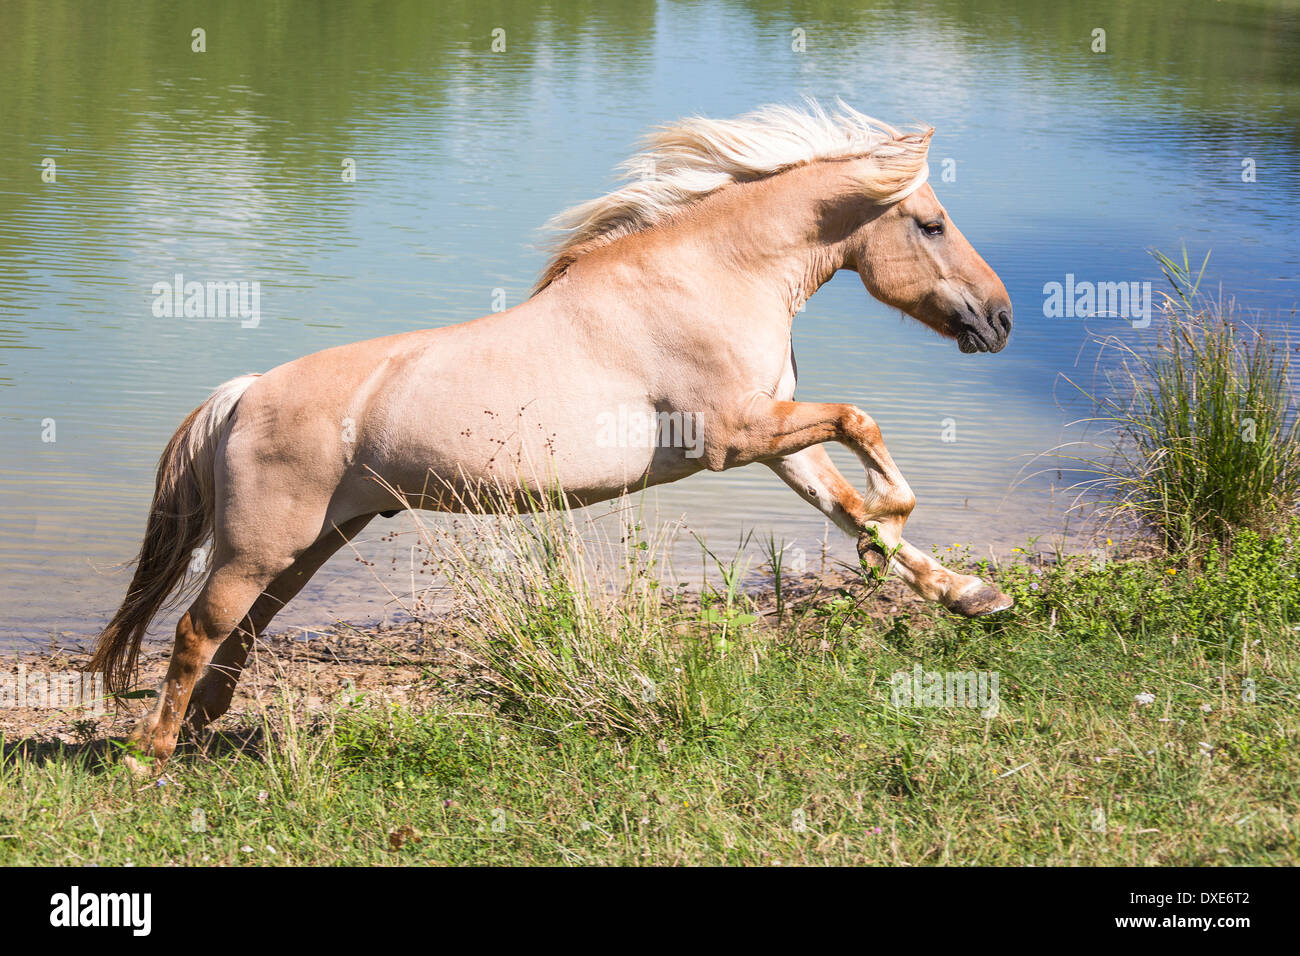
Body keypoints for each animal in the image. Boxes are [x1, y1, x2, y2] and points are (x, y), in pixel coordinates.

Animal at [94, 100, 1013, 764]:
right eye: (931, 224)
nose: (999, 319)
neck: (710, 276)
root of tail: (243, 395)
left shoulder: (775, 438)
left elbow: (847, 501)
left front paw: (972, 595)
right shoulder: (738, 437)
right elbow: (866, 428)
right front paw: (903, 533)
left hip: (313, 542)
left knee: (240, 633)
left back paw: (202, 731)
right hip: (261, 545)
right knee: (198, 630)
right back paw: (149, 756)